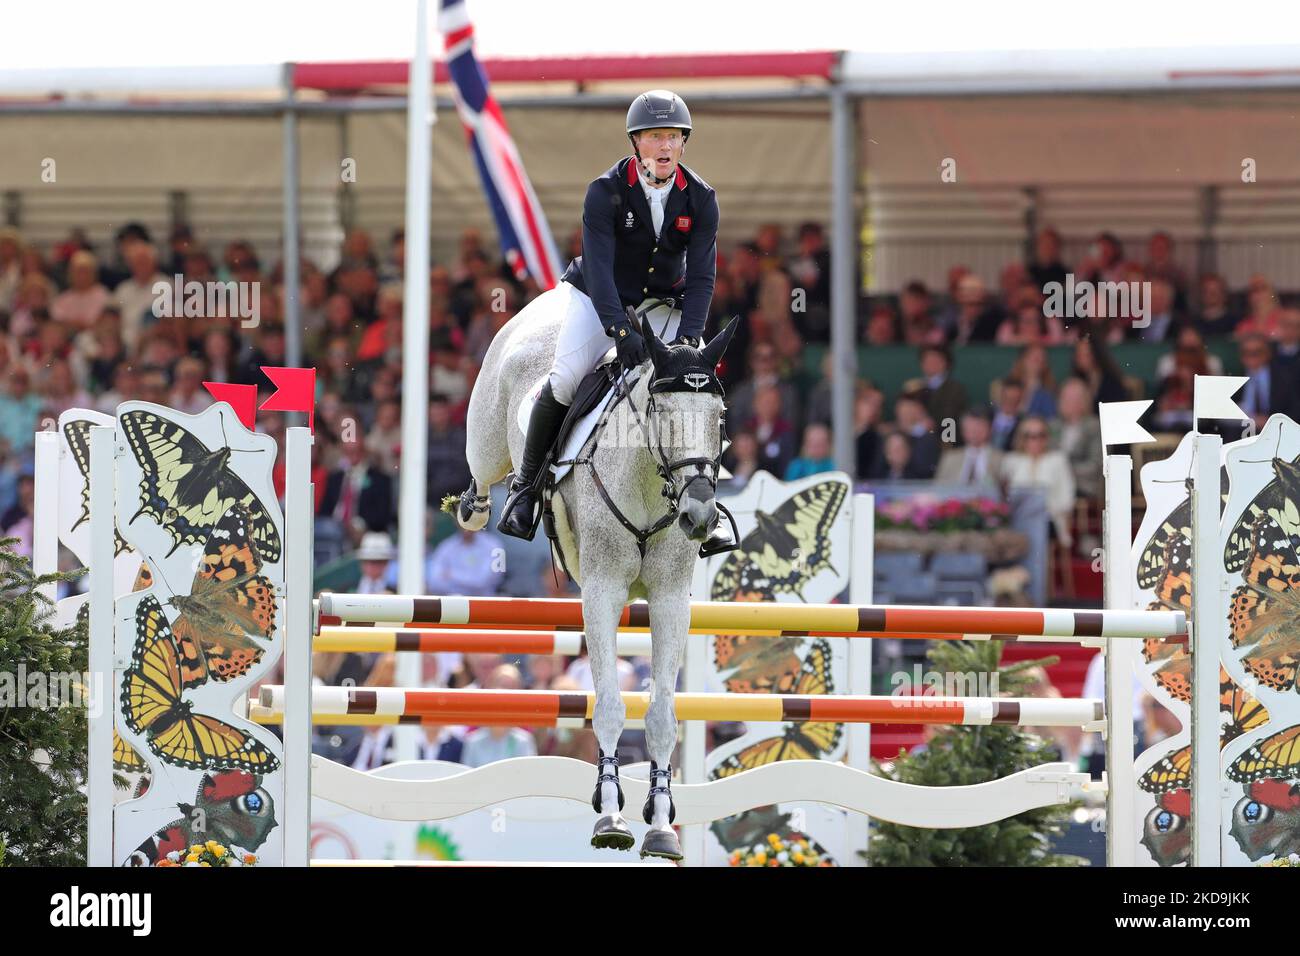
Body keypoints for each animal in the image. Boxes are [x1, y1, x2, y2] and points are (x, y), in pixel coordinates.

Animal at [449, 299, 738, 858]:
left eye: (718, 419)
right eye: (661, 414)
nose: (698, 516)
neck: (649, 481)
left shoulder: (670, 598)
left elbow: (661, 715)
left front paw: (662, 825)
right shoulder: (603, 591)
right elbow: (607, 706)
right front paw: (610, 816)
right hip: (488, 440)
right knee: (481, 476)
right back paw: (482, 506)